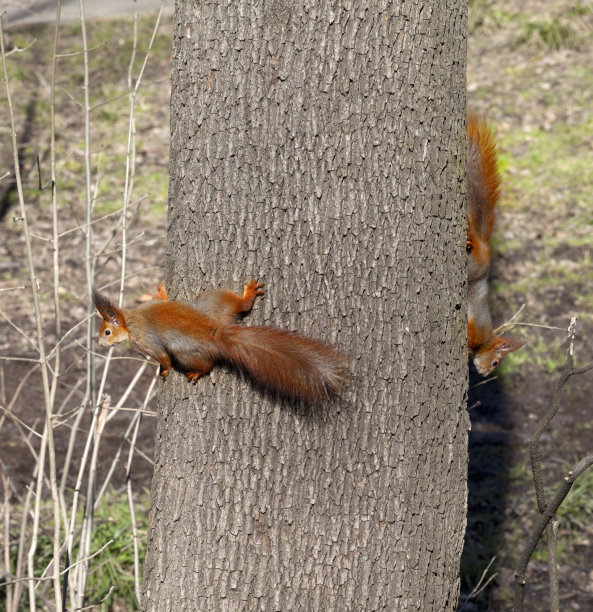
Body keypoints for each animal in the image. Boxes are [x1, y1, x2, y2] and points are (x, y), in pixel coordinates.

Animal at [93, 278, 346, 402]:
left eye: (106, 332)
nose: (99, 345)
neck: (130, 319)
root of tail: (215, 332)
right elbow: (161, 298)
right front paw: (161, 289)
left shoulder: (145, 341)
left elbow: (163, 358)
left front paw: (163, 371)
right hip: (214, 300)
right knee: (240, 306)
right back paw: (248, 294)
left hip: (185, 351)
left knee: (207, 365)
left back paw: (197, 372)